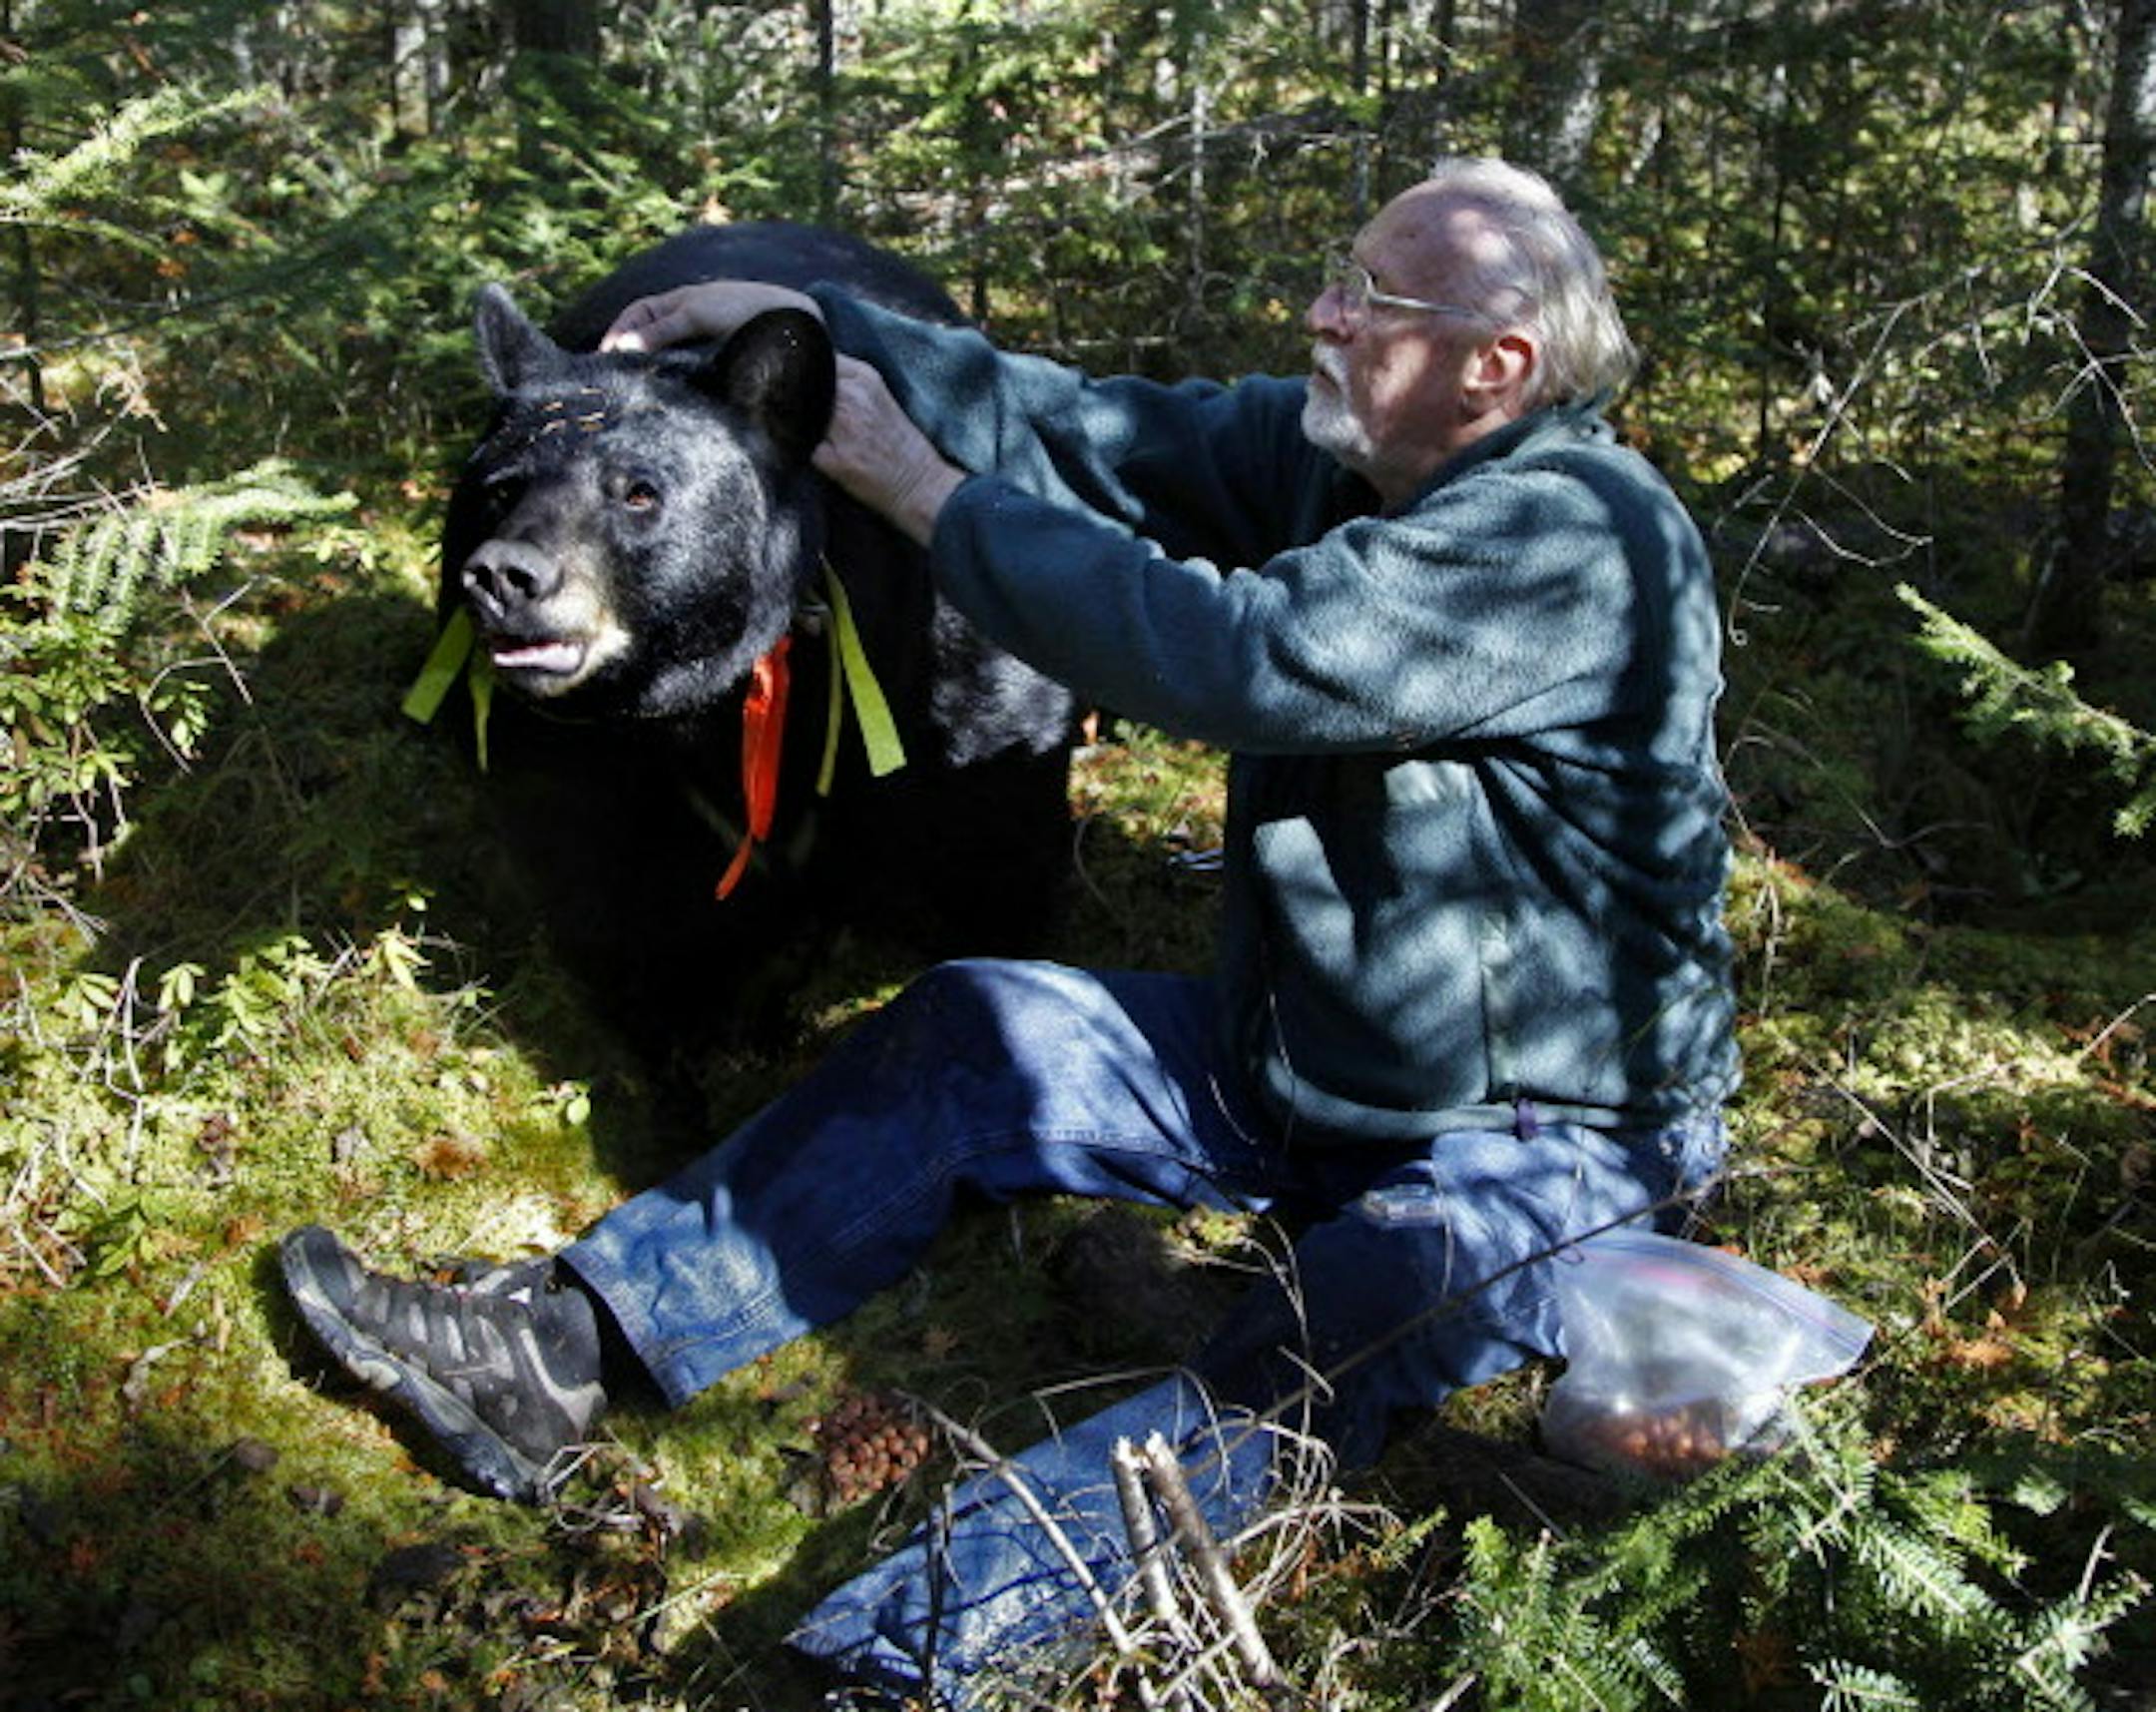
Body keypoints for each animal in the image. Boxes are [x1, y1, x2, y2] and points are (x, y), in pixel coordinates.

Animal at [421, 223, 1079, 1054]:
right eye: (502, 489)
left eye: (639, 492)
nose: (503, 575)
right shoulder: (583, 782)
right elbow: (629, 936)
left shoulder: (967, 717)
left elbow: (996, 873)